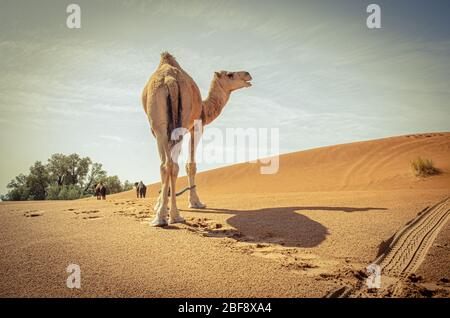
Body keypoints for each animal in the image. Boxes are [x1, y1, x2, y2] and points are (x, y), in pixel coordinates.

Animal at [142, 52, 251, 226]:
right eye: (230, 74)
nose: (247, 73)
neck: (205, 109)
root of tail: (170, 80)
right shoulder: (197, 126)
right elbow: (191, 165)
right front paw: (196, 202)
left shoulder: (163, 130)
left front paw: (160, 204)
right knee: (172, 165)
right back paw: (172, 216)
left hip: (160, 126)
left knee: (167, 165)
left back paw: (163, 218)